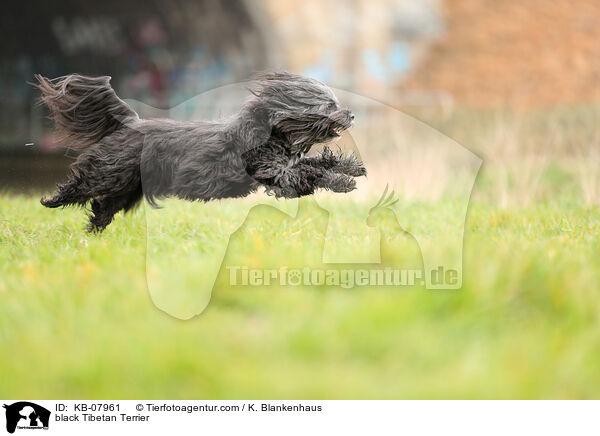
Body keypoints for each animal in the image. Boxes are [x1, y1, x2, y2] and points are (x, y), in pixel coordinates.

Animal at [36, 71, 366, 232]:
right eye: (329, 106)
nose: (352, 114)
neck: (272, 131)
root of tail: (130, 123)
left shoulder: (286, 166)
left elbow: (318, 161)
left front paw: (351, 168)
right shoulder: (276, 172)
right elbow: (309, 172)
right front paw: (343, 182)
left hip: (127, 188)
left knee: (103, 207)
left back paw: (93, 234)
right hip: (110, 172)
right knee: (83, 185)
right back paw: (53, 200)